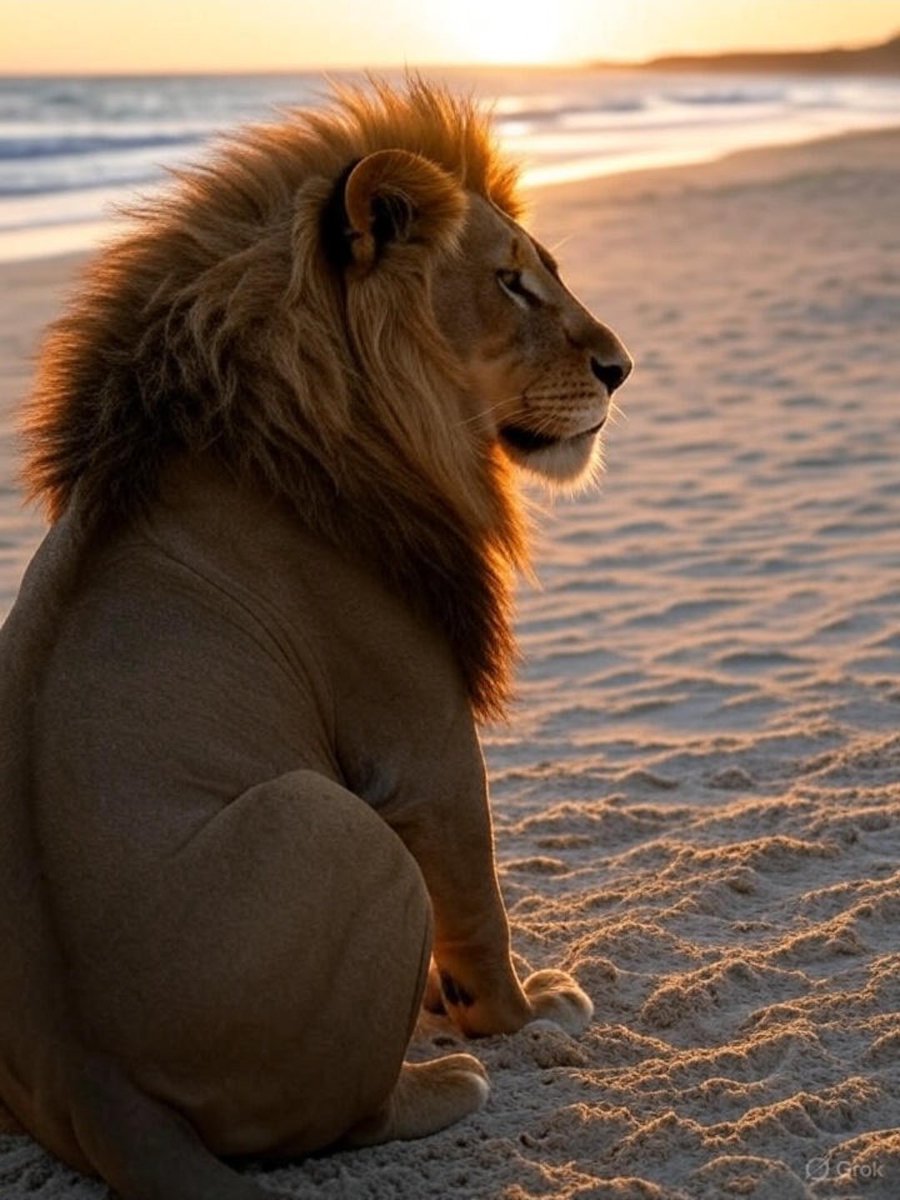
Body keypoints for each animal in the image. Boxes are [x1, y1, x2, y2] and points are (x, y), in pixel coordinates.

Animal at [0, 79, 631, 1199]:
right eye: (511, 282)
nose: (621, 367)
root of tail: (96, 1081)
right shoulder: (424, 742)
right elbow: (480, 906)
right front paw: (522, 1016)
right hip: (343, 828)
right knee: (354, 1112)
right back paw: (450, 1078)